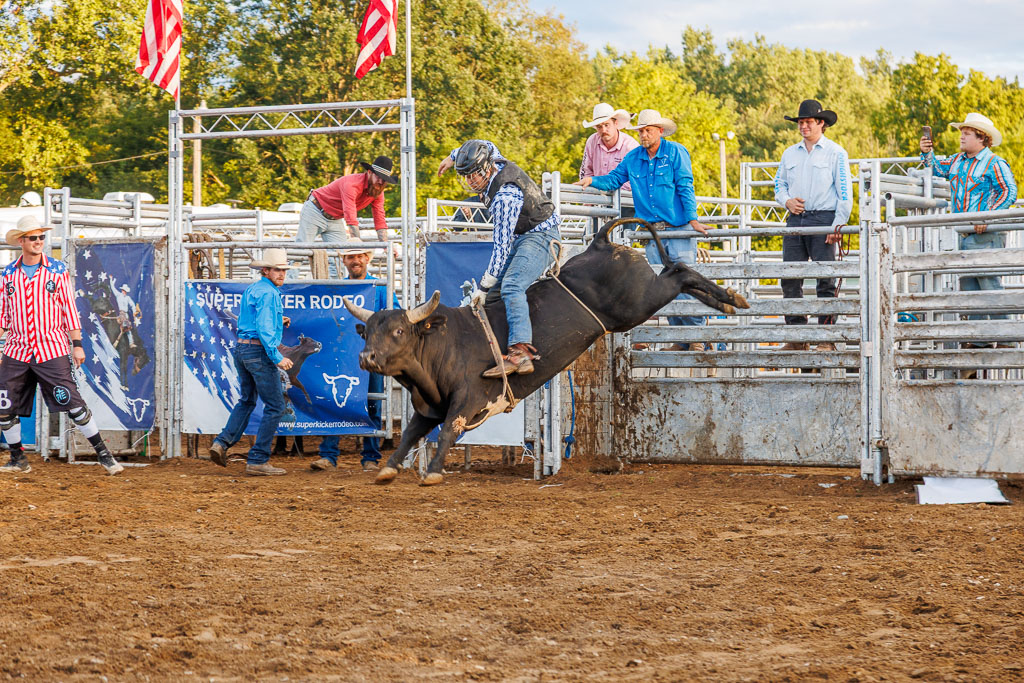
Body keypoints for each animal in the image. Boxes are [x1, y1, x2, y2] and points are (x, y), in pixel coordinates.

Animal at [343, 218, 749, 486]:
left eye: (398, 330)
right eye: (367, 333)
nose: (366, 358)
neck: (442, 345)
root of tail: (599, 243)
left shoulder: (466, 400)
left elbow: (446, 433)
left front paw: (433, 472)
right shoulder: (429, 406)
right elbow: (411, 434)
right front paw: (389, 467)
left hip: (639, 302)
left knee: (680, 273)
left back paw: (731, 298)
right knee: (678, 273)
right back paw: (727, 301)